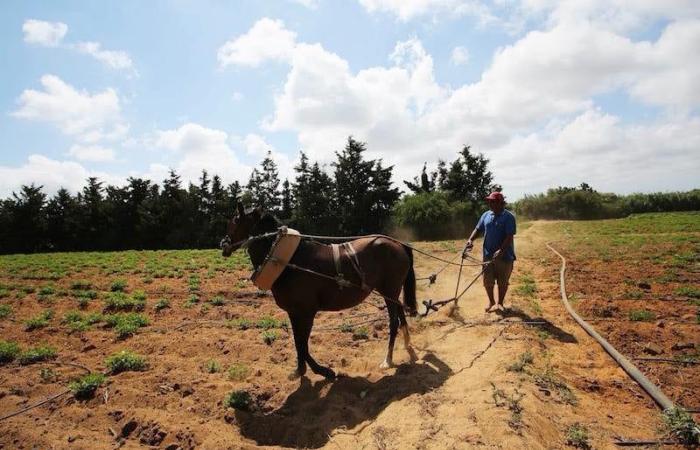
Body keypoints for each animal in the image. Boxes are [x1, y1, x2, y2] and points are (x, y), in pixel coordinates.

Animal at [221, 206, 418, 382]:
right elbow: (298, 341)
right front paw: (300, 370)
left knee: (393, 322)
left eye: (235, 221)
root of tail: (397, 243)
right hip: (392, 292)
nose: (223, 244)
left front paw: (322, 371)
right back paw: (408, 347)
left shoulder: (306, 311)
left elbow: (302, 343)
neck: (290, 261)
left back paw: (388, 360)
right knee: (401, 315)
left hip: (389, 290)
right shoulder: (294, 312)